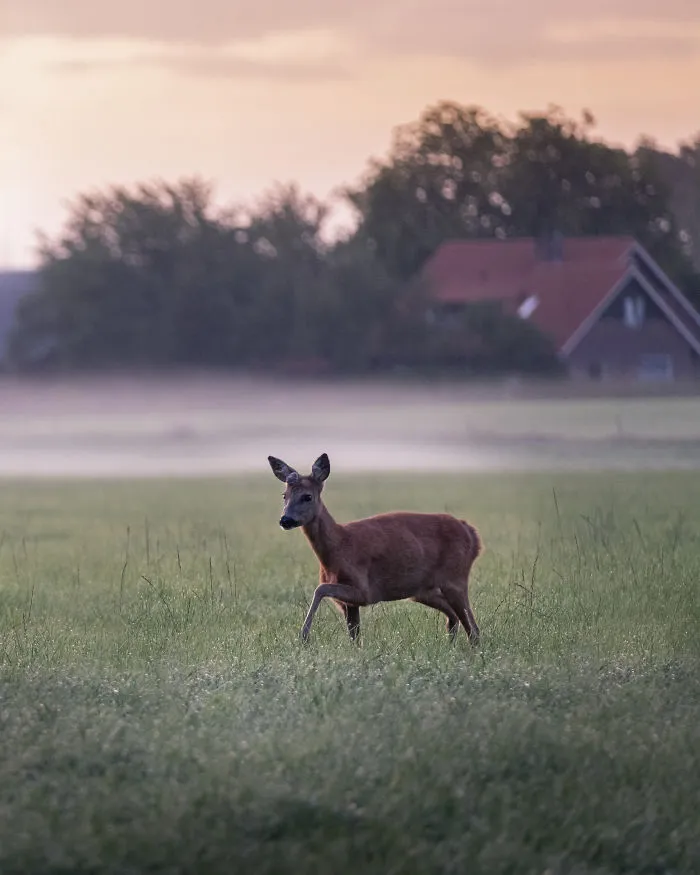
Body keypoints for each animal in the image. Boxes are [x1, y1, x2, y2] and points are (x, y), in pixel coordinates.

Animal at [267, 452, 482, 645]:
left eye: (307, 496)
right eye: (284, 495)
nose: (285, 520)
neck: (339, 547)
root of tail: (472, 534)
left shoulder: (364, 591)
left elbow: (320, 589)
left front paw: (303, 636)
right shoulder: (348, 603)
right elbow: (355, 638)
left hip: (455, 578)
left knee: (473, 628)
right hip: (423, 590)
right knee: (454, 617)